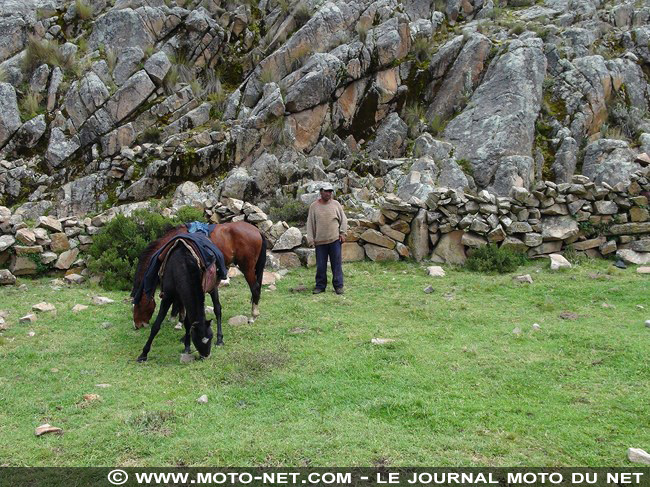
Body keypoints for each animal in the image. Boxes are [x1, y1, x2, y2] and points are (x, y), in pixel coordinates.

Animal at [132, 222, 266, 332]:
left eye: (138, 305)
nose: (137, 325)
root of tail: (257, 230)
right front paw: (175, 318)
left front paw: (179, 322)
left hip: (247, 268)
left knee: (255, 288)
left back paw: (253, 316)